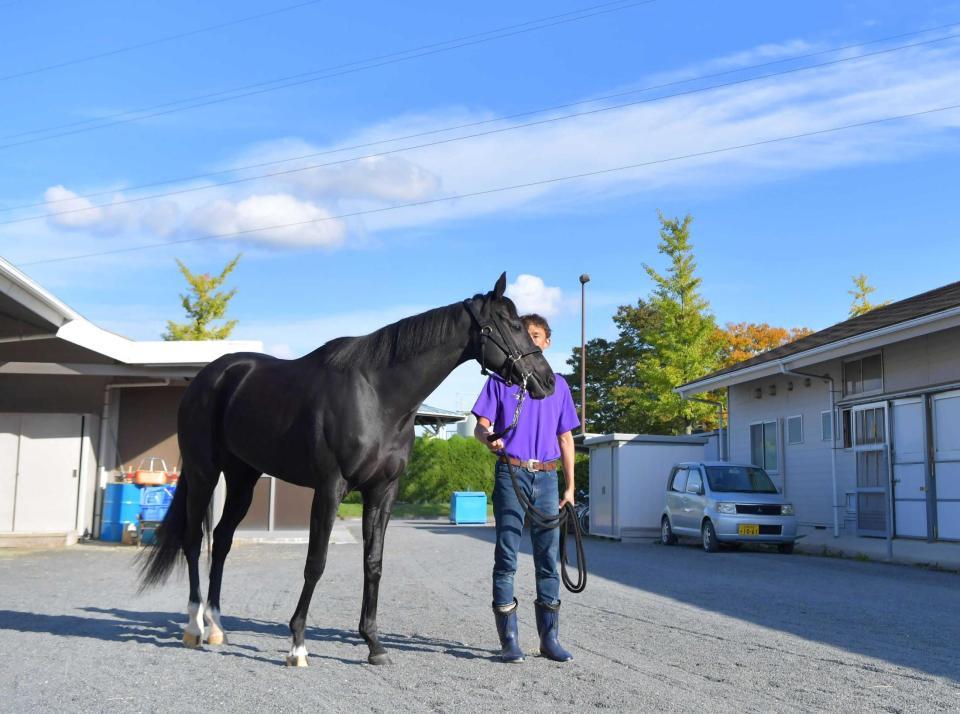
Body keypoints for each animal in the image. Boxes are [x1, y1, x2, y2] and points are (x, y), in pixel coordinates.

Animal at [138, 273, 556, 666]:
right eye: (512, 325)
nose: (547, 381)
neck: (378, 395)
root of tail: (209, 377)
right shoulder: (330, 488)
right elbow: (316, 563)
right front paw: (297, 645)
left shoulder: (383, 490)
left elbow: (373, 563)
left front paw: (374, 644)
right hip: (204, 472)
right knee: (195, 540)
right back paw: (194, 626)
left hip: (244, 478)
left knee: (223, 540)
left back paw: (216, 626)